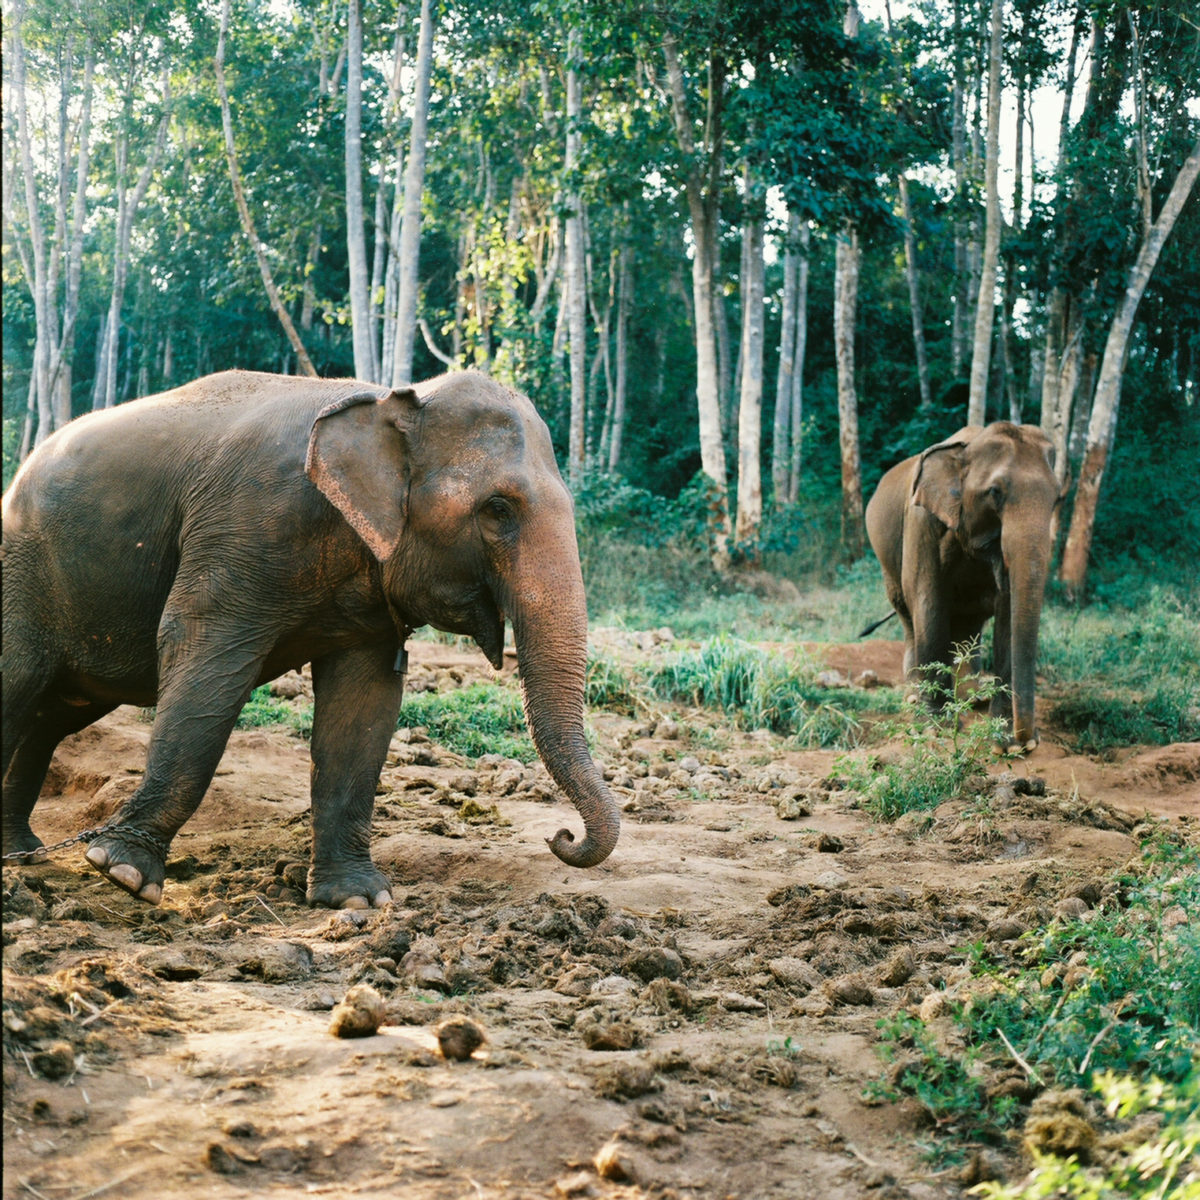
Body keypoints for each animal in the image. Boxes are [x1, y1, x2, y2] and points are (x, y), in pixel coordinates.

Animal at [2, 369, 619, 902]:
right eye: (497, 509)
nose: (561, 837)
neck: (388, 399)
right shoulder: (246, 528)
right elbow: (201, 659)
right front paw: (122, 872)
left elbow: (364, 705)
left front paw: (358, 899)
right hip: (24, 570)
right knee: (20, 683)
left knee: (51, 717)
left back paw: (20, 854)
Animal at [864, 422, 1060, 748]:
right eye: (994, 492)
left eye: (1058, 498)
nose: (1029, 737)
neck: (968, 447)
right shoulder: (921, 521)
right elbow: (928, 599)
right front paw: (934, 728)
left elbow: (1008, 610)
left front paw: (1008, 741)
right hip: (886, 564)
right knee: (907, 614)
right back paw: (915, 696)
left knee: (970, 623)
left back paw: (973, 697)